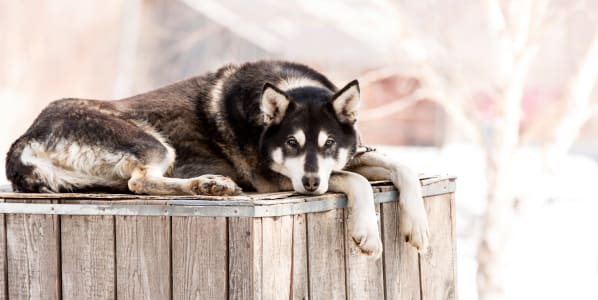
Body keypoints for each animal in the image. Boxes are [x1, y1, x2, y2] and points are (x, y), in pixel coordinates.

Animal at [4, 61, 428, 258]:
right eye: (291, 142)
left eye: (328, 143)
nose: (310, 185)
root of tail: (25, 136)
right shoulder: (274, 180)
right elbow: (356, 181)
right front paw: (368, 233)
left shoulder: (343, 161)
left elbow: (402, 167)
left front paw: (418, 228)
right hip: (152, 143)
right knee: (140, 181)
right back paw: (208, 184)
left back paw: (207, 184)